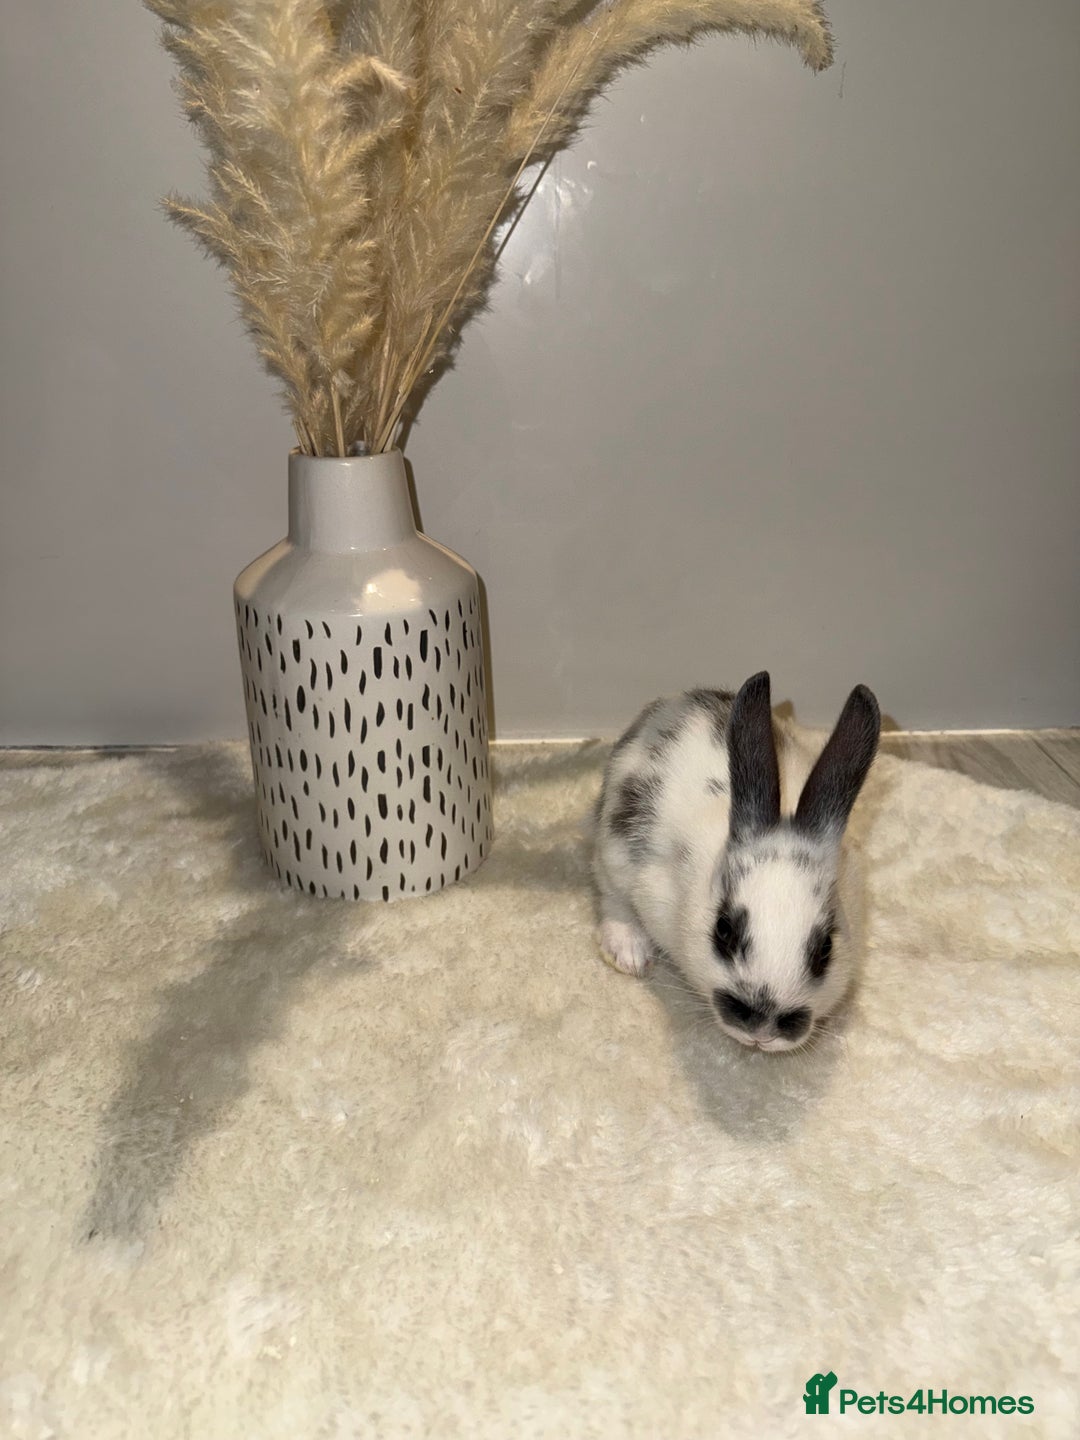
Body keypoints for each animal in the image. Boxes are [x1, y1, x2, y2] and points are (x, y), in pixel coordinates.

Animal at [592, 671, 881, 1052]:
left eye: (825, 950)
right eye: (724, 930)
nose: (762, 1030)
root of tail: (673, 702)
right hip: (613, 846)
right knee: (611, 895)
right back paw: (629, 952)